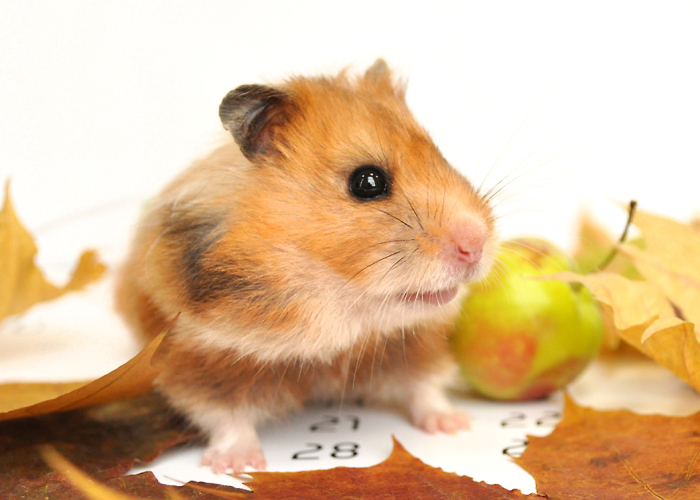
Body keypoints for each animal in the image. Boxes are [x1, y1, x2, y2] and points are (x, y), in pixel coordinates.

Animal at [115, 59, 497, 474]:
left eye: (440, 156)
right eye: (367, 182)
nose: (476, 245)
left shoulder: (415, 345)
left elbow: (425, 387)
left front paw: (456, 425)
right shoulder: (203, 356)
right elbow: (224, 415)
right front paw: (237, 466)